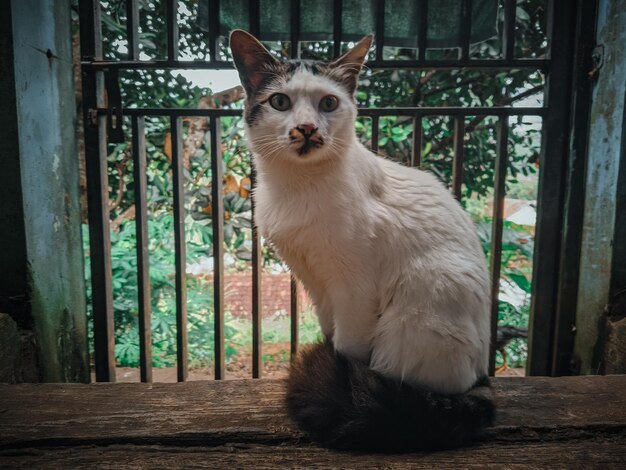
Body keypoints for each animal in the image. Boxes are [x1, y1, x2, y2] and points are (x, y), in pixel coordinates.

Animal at [228, 30, 492, 452]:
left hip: (410, 323)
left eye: (329, 103)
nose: (307, 128)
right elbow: (331, 337)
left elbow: (347, 350)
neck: (298, 187)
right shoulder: (316, 284)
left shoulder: (355, 291)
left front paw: (344, 383)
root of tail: (480, 378)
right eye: (280, 102)